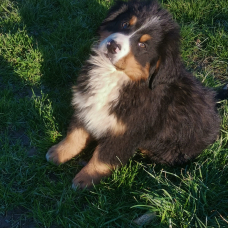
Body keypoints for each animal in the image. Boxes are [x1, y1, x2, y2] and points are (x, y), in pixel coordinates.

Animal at [46, 0, 223, 189]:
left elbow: (103, 157)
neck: (115, 77)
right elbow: (75, 134)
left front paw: (85, 179)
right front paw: (58, 153)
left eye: (143, 45)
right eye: (124, 24)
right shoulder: (86, 106)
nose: (112, 45)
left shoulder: (126, 132)